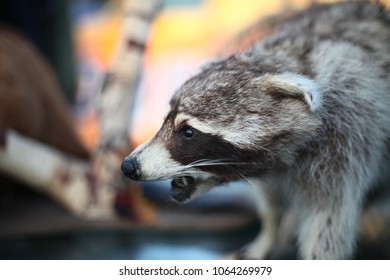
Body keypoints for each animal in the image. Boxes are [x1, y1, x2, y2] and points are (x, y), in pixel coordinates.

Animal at [122, 2, 390, 260]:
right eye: (165, 120)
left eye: (188, 132)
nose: (129, 166)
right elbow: (272, 200)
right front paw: (269, 234)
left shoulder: (350, 134)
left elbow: (329, 216)